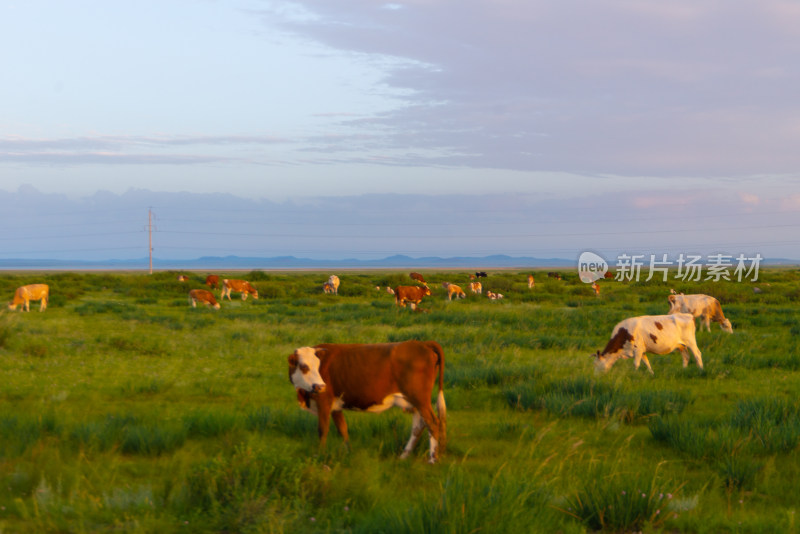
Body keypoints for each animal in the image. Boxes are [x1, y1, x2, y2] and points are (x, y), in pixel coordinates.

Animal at [290, 344, 450, 464]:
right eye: (304, 366)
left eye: (318, 366)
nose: (320, 386)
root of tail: (422, 343)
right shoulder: (336, 406)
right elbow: (343, 429)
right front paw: (348, 451)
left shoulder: (323, 402)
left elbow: (323, 430)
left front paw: (320, 456)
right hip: (414, 403)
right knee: (418, 427)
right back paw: (404, 456)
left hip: (420, 400)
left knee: (432, 423)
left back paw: (432, 460)